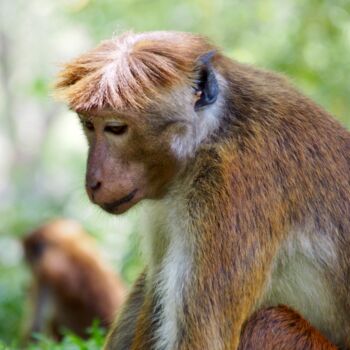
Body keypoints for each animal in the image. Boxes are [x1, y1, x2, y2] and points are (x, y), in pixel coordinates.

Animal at [54, 31, 350, 348]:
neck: (213, 131)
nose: (93, 181)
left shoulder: (231, 187)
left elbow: (205, 339)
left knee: (268, 322)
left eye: (115, 128)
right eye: (88, 125)